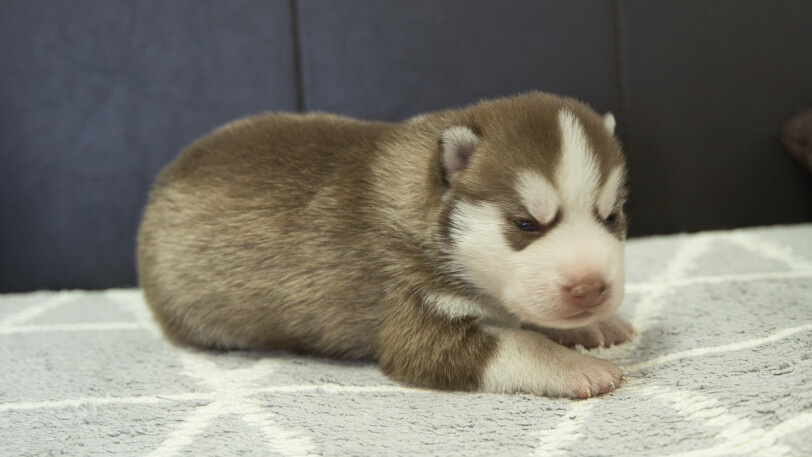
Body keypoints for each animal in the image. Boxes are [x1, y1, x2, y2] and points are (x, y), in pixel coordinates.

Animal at [138, 91, 636, 396]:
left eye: (611, 217)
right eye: (525, 224)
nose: (591, 289)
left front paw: (594, 325)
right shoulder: (410, 309)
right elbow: (520, 343)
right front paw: (576, 366)